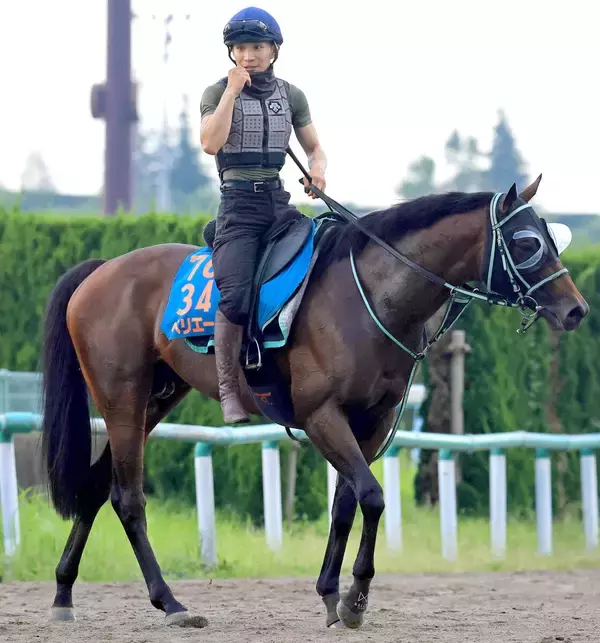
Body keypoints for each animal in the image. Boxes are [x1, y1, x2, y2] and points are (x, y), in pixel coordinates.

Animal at [39, 175, 588, 629]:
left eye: (550, 236)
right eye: (526, 242)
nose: (576, 310)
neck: (372, 297)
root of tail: (101, 271)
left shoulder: (372, 420)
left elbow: (346, 503)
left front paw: (331, 594)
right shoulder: (322, 415)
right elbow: (372, 497)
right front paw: (355, 598)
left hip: (155, 399)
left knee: (96, 487)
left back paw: (63, 594)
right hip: (122, 397)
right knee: (127, 499)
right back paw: (170, 602)